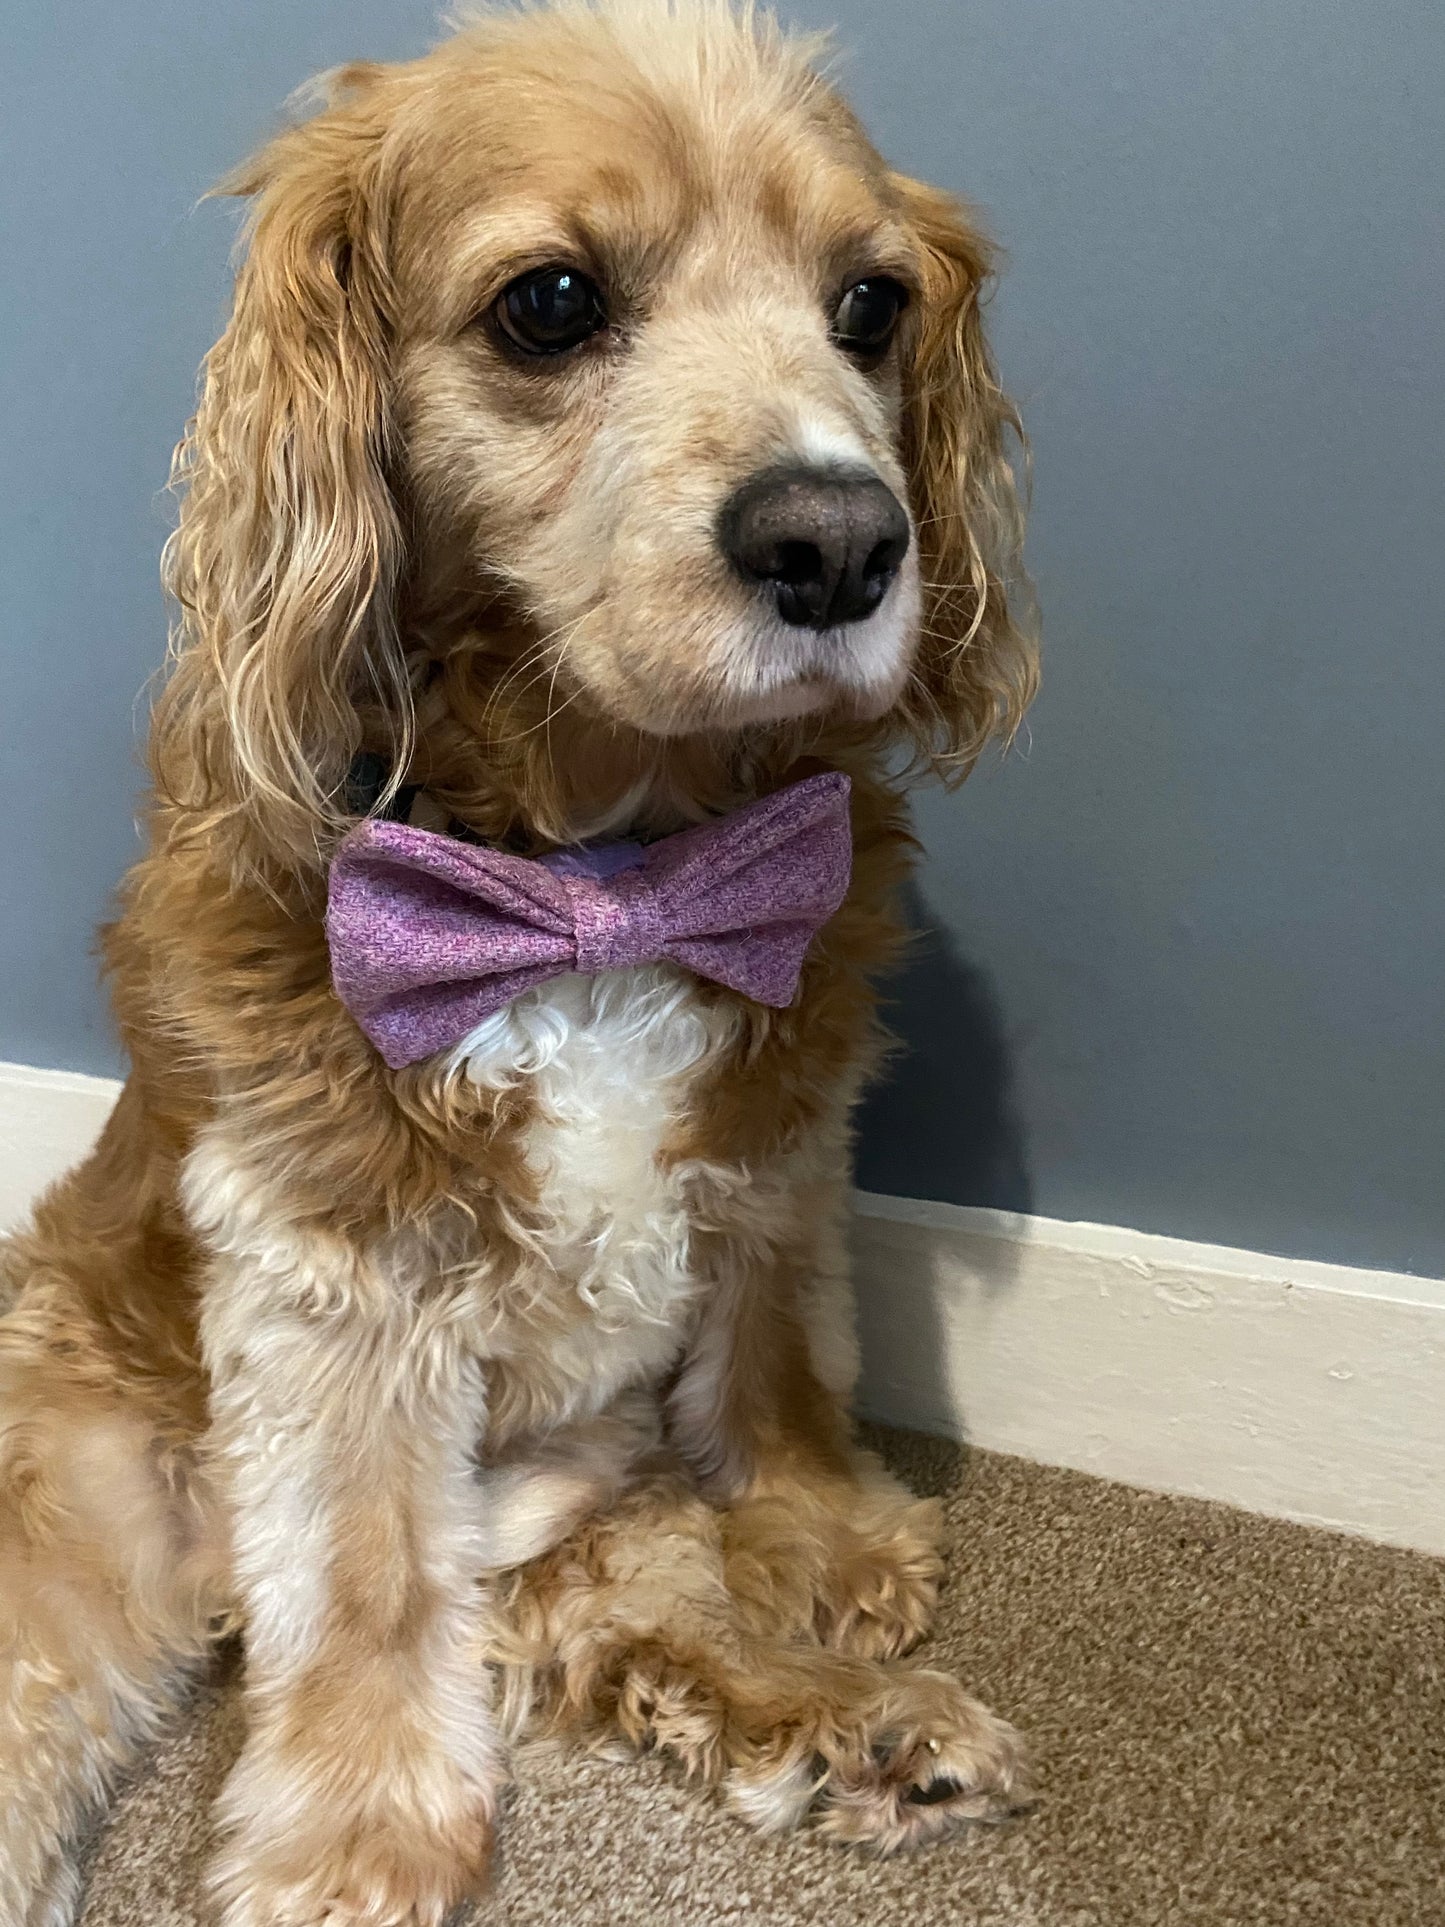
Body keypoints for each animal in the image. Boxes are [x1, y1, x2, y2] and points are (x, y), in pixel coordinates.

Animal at [0, 7, 1040, 1919]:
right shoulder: (334, 1263)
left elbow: (780, 1341)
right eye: (549, 303)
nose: (844, 540)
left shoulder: (778, 1134)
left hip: (577, 1494)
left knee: (627, 1616)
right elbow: (366, 1570)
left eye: (870, 305)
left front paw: (818, 1528)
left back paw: (851, 1724)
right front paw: (351, 1830)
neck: (602, 872)